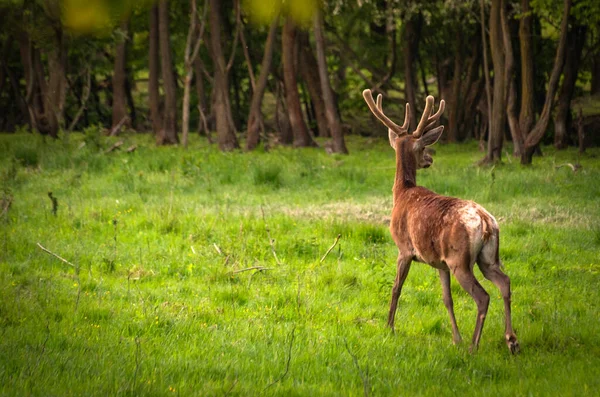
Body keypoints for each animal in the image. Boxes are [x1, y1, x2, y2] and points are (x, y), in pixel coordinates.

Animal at [364, 89, 516, 352]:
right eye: (423, 147)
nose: (429, 159)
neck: (401, 194)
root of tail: (485, 222)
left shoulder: (404, 248)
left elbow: (396, 288)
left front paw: (389, 328)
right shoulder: (439, 262)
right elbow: (447, 299)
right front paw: (456, 338)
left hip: (460, 259)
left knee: (483, 296)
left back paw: (474, 346)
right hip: (488, 257)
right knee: (504, 283)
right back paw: (511, 340)